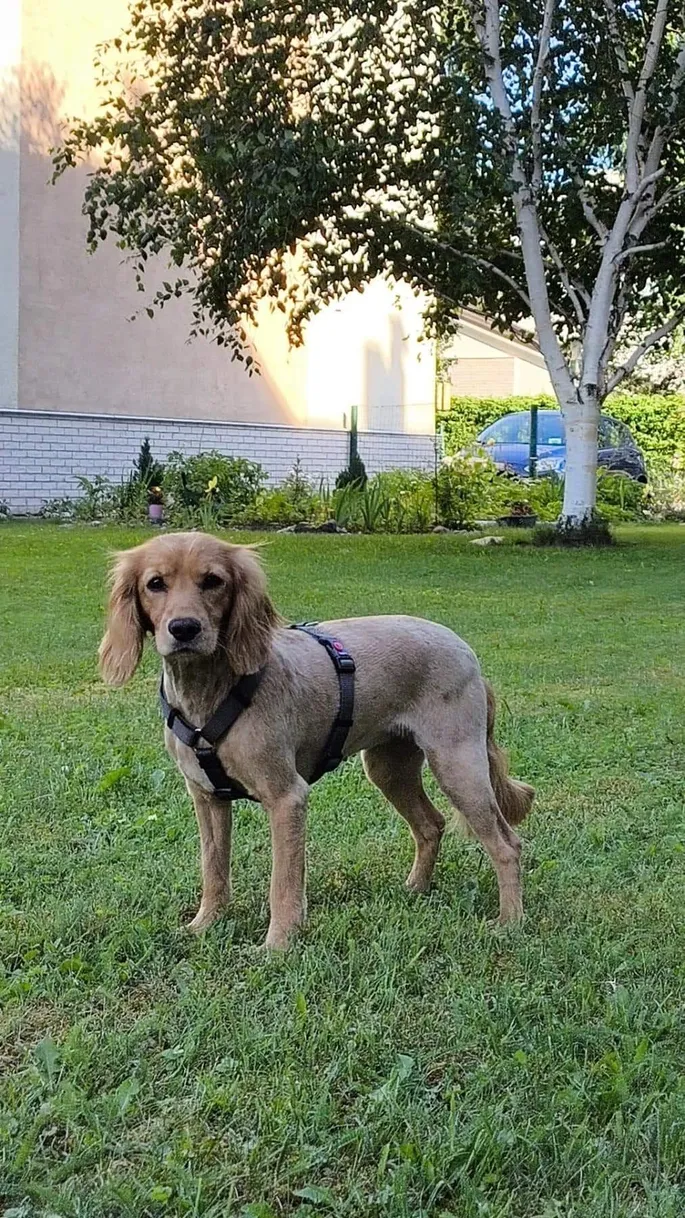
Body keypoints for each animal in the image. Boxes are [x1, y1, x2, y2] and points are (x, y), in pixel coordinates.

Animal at [97, 528, 533, 945]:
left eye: (213, 581)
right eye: (155, 584)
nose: (184, 628)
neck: (212, 693)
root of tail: (466, 651)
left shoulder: (287, 797)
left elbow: (284, 884)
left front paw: (278, 945)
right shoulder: (207, 798)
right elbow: (213, 868)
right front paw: (205, 924)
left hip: (458, 764)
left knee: (507, 844)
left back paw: (510, 921)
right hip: (388, 767)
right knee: (431, 824)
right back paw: (415, 889)